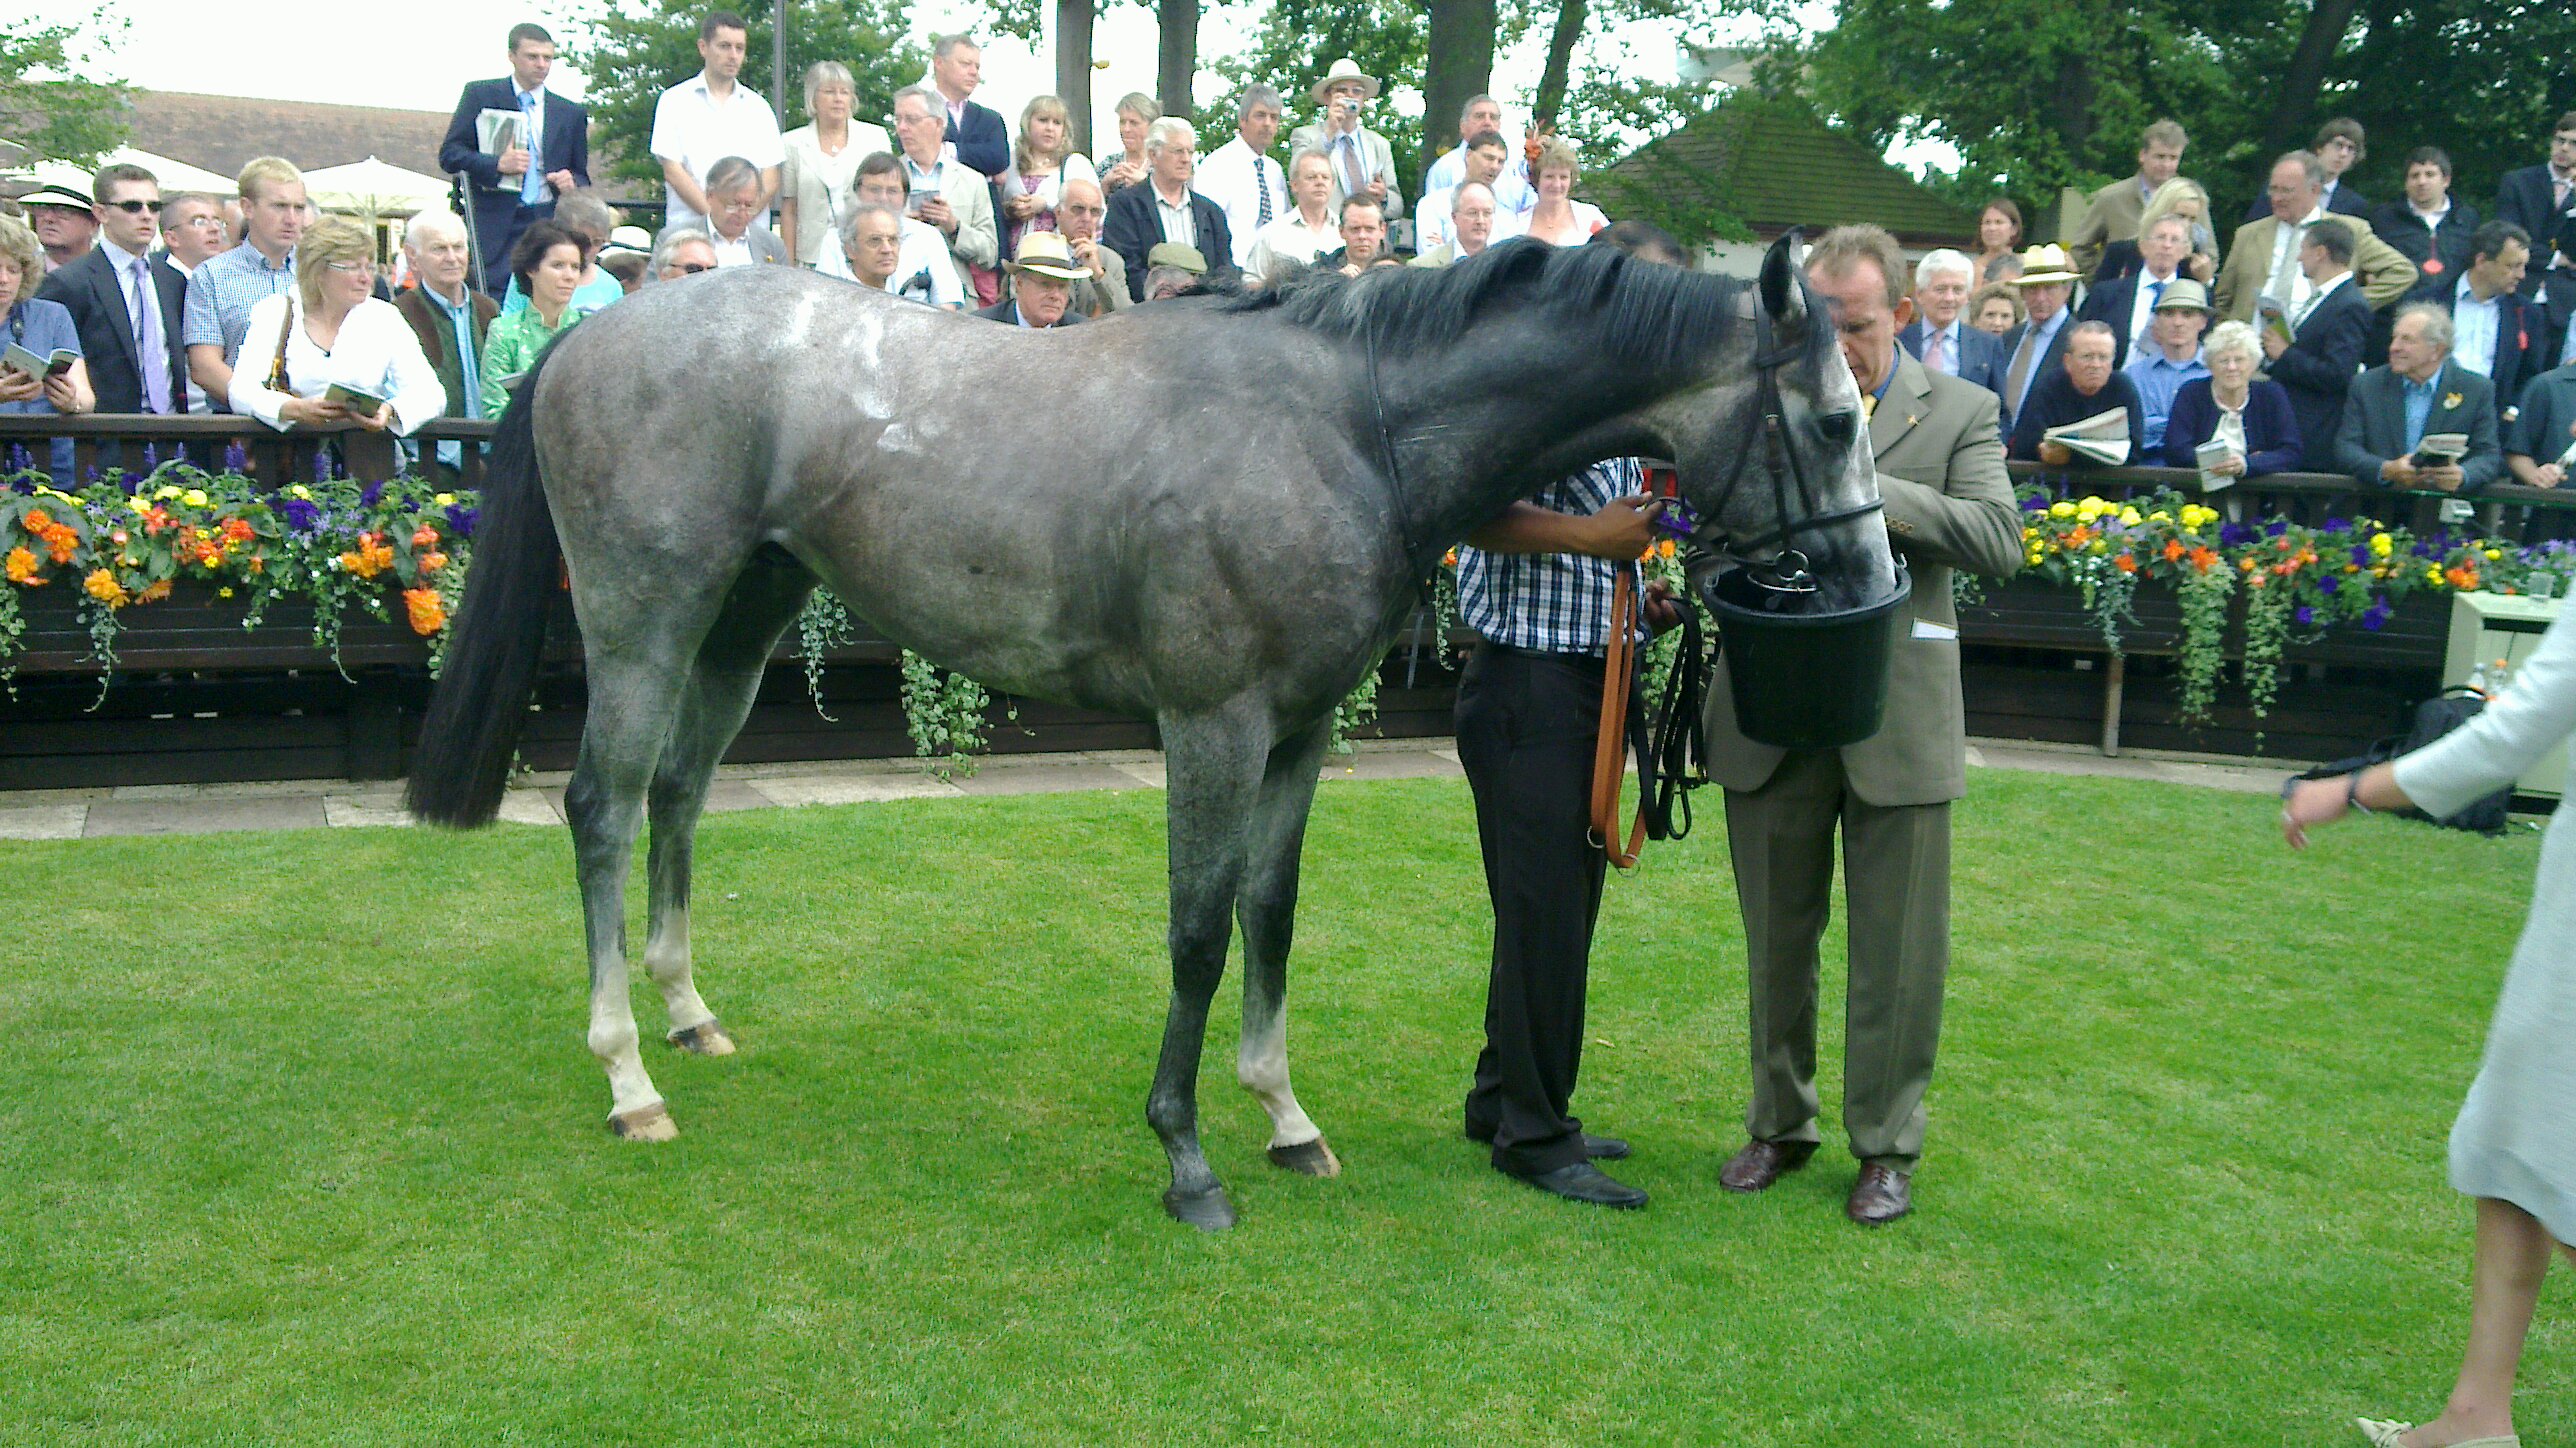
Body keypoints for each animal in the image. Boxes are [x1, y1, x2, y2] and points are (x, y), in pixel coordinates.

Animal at [401, 230, 1895, 1221]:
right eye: (1831, 419)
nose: (1872, 585)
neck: (1343, 420)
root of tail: (595, 335)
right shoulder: (1212, 723)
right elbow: (1196, 927)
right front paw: (1185, 1155)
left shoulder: (1299, 732)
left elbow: (1270, 914)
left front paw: (1285, 1116)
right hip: (645, 618)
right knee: (601, 807)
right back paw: (624, 1075)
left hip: (744, 619)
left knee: (679, 797)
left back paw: (687, 1014)